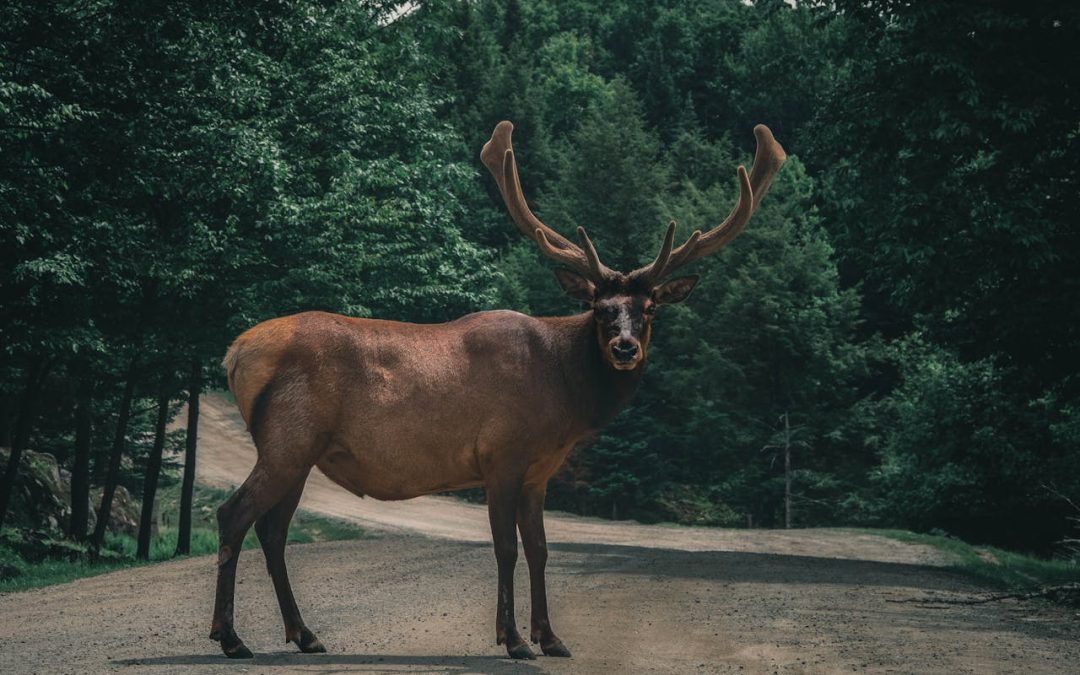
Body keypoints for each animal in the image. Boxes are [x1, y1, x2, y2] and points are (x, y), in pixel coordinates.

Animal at [211, 120, 785, 660]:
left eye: (649, 310)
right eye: (600, 307)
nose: (624, 347)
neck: (564, 398)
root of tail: (235, 352)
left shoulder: (539, 472)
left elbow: (540, 549)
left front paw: (551, 637)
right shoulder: (500, 455)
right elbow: (505, 548)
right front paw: (513, 640)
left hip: (301, 451)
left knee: (273, 530)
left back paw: (304, 635)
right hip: (288, 438)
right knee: (233, 515)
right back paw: (231, 637)